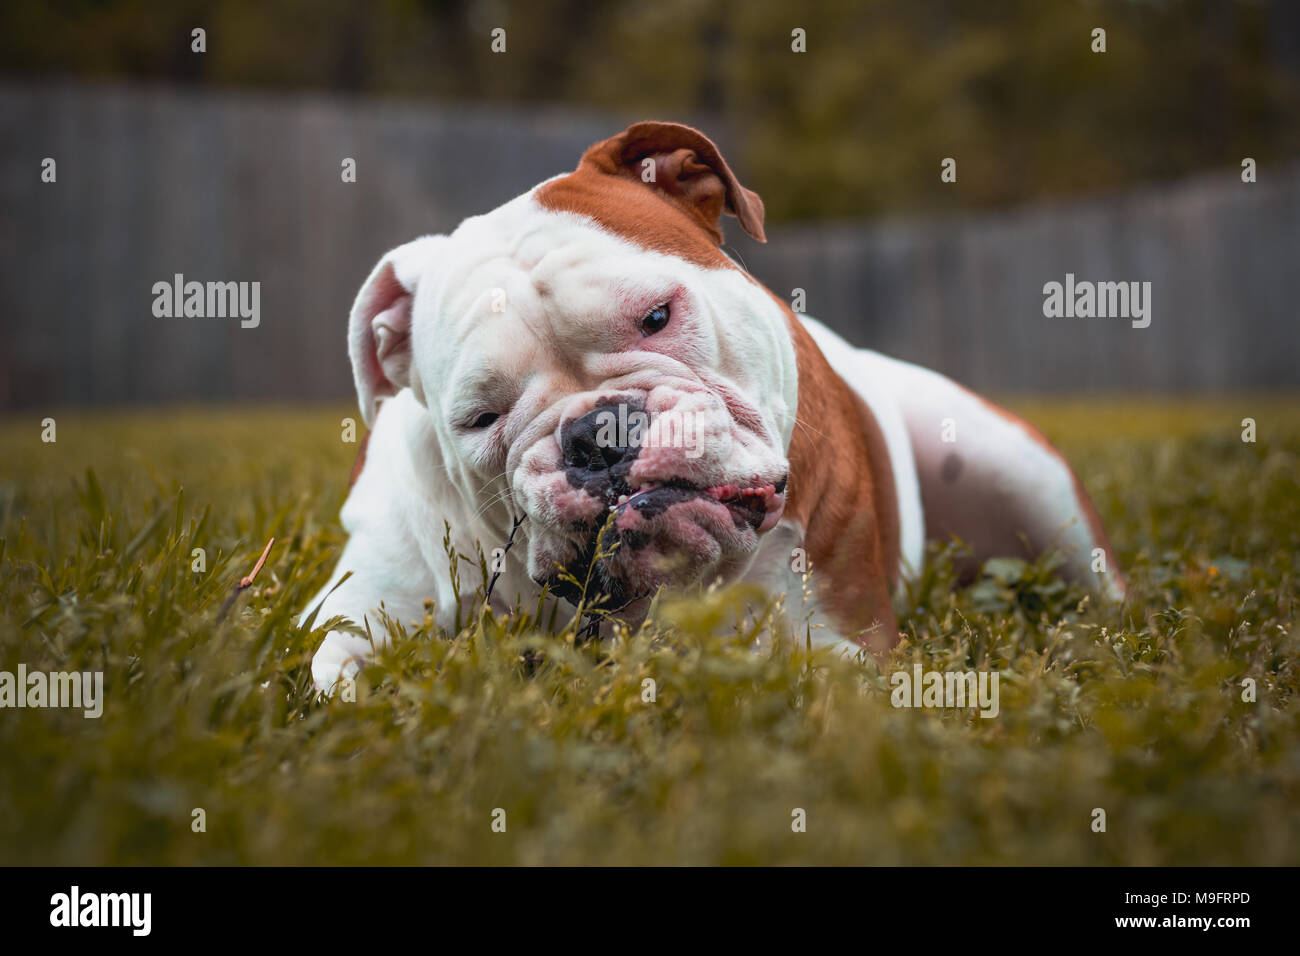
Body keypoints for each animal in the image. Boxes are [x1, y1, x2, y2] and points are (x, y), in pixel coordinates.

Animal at [301, 123, 1118, 691]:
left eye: (657, 316)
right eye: (480, 418)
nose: (597, 434)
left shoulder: (834, 641)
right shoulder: (356, 617)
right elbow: (341, 678)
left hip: (1019, 472)